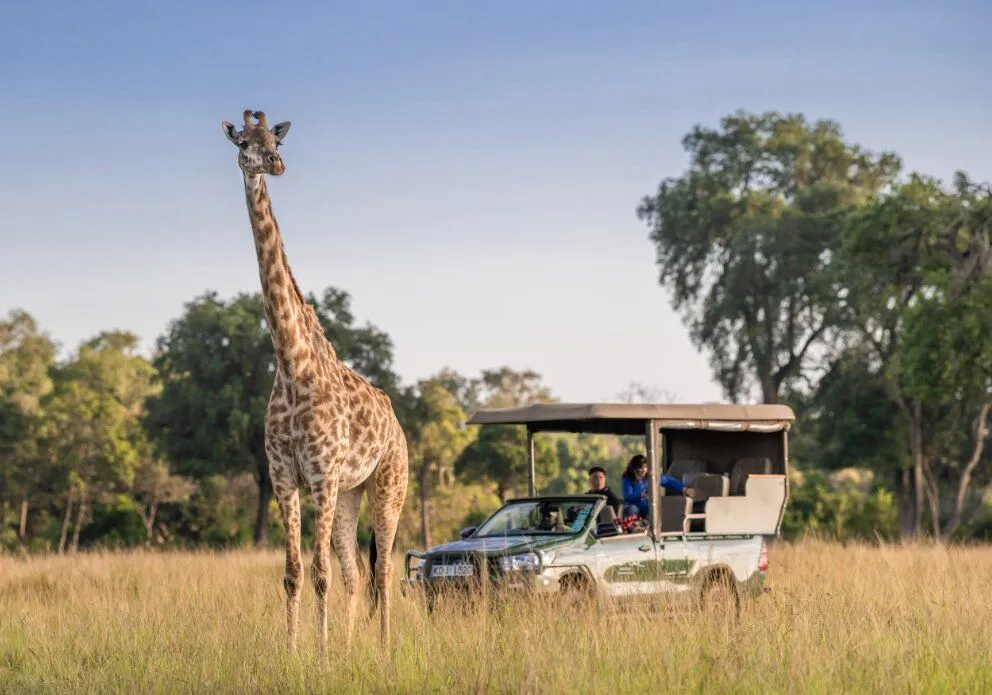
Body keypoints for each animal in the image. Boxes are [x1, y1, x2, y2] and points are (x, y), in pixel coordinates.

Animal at [221, 110, 409, 659]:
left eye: (275, 141)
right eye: (243, 142)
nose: (274, 164)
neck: (292, 364)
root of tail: (399, 426)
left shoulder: (322, 474)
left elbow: (320, 572)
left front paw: (321, 658)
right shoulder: (285, 476)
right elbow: (294, 573)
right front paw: (295, 652)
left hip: (387, 485)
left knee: (383, 570)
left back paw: (382, 648)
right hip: (349, 494)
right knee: (355, 572)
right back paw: (349, 646)